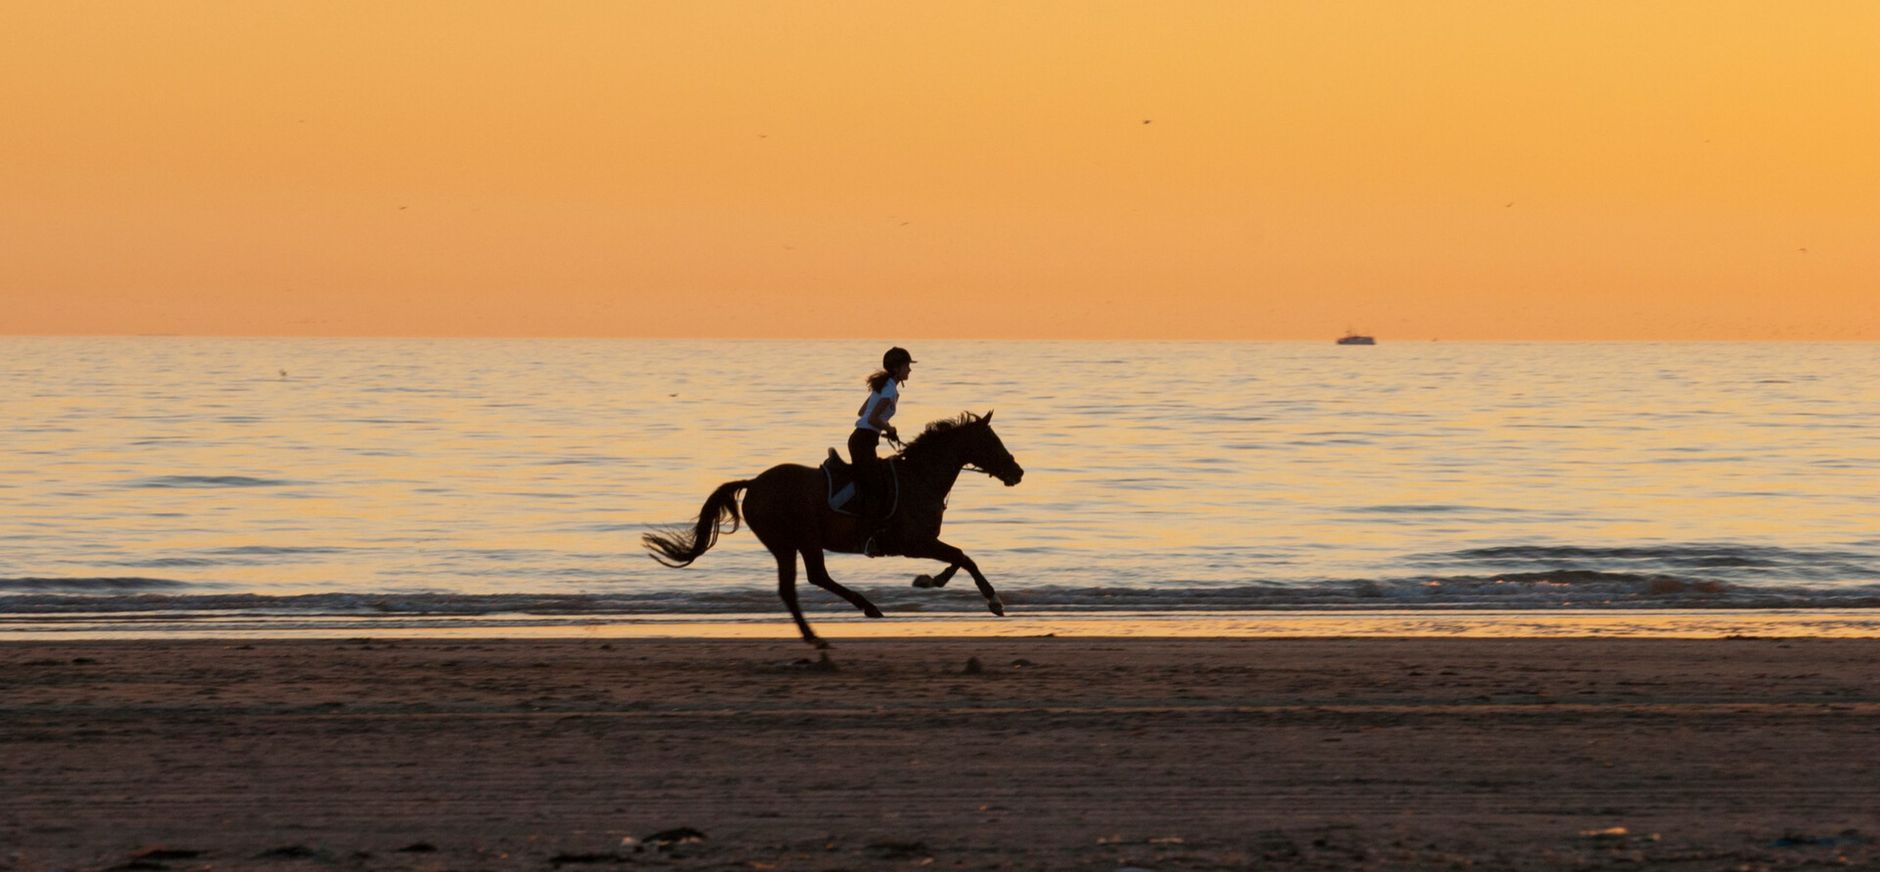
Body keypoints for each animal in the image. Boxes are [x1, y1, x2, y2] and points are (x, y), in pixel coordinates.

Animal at [643, 411, 1024, 647]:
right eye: (991, 441)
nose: (1017, 473)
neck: (921, 477)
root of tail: (754, 484)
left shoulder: (923, 542)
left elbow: (958, 559)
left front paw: (928, 580)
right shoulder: (914, 542)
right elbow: (964, 557)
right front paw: (993, 601)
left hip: (788, 544)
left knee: (796, 586)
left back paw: (823, 631)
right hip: (798, 540)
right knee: (812, 578)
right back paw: (858, 612)